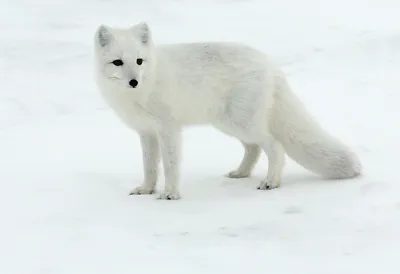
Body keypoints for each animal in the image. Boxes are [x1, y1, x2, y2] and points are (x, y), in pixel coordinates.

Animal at [94, 22, 362, 200]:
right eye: (118, 62)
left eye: (139, 61)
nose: (134, 81)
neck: (142, 90)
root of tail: (270, 64)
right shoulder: (147, 132)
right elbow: (149, 166)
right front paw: (147, 190)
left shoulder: (169, 129)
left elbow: (170, 165)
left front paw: (170, 194)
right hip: (228, 124)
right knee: (253, 149)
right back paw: (241, 173)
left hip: (242, 123)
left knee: (275, 147)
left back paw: (270, 182)